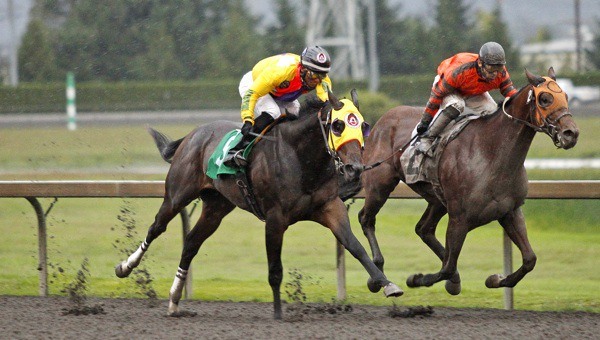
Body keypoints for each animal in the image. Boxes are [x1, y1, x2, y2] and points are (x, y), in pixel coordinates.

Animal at [115, 90, 404, 318]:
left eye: (363, 125)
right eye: (338, 125)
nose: (355, 168)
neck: (301, 158)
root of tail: (193, 134)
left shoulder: (330, 207)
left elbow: (355, 247)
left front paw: (385, 283)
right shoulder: (275, 219)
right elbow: (275, 269)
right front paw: (277, 313)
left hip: (216, 207)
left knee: (191, 243)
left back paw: (175, 301)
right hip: (177, 195)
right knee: (156, 228)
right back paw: (125, 267)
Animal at [358, 68, 580, 294]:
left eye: (566, 96)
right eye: (544, 98)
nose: (571, 133)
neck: (492, 155)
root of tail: (383, 119)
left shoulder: (510, 211)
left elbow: (529, 259)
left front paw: (495, 279)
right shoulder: (459, 218)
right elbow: (447, 267)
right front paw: (417, 278)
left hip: (437, 199)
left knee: (423, 229)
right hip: (379, 186)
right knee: (366, 218)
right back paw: (379, 275)